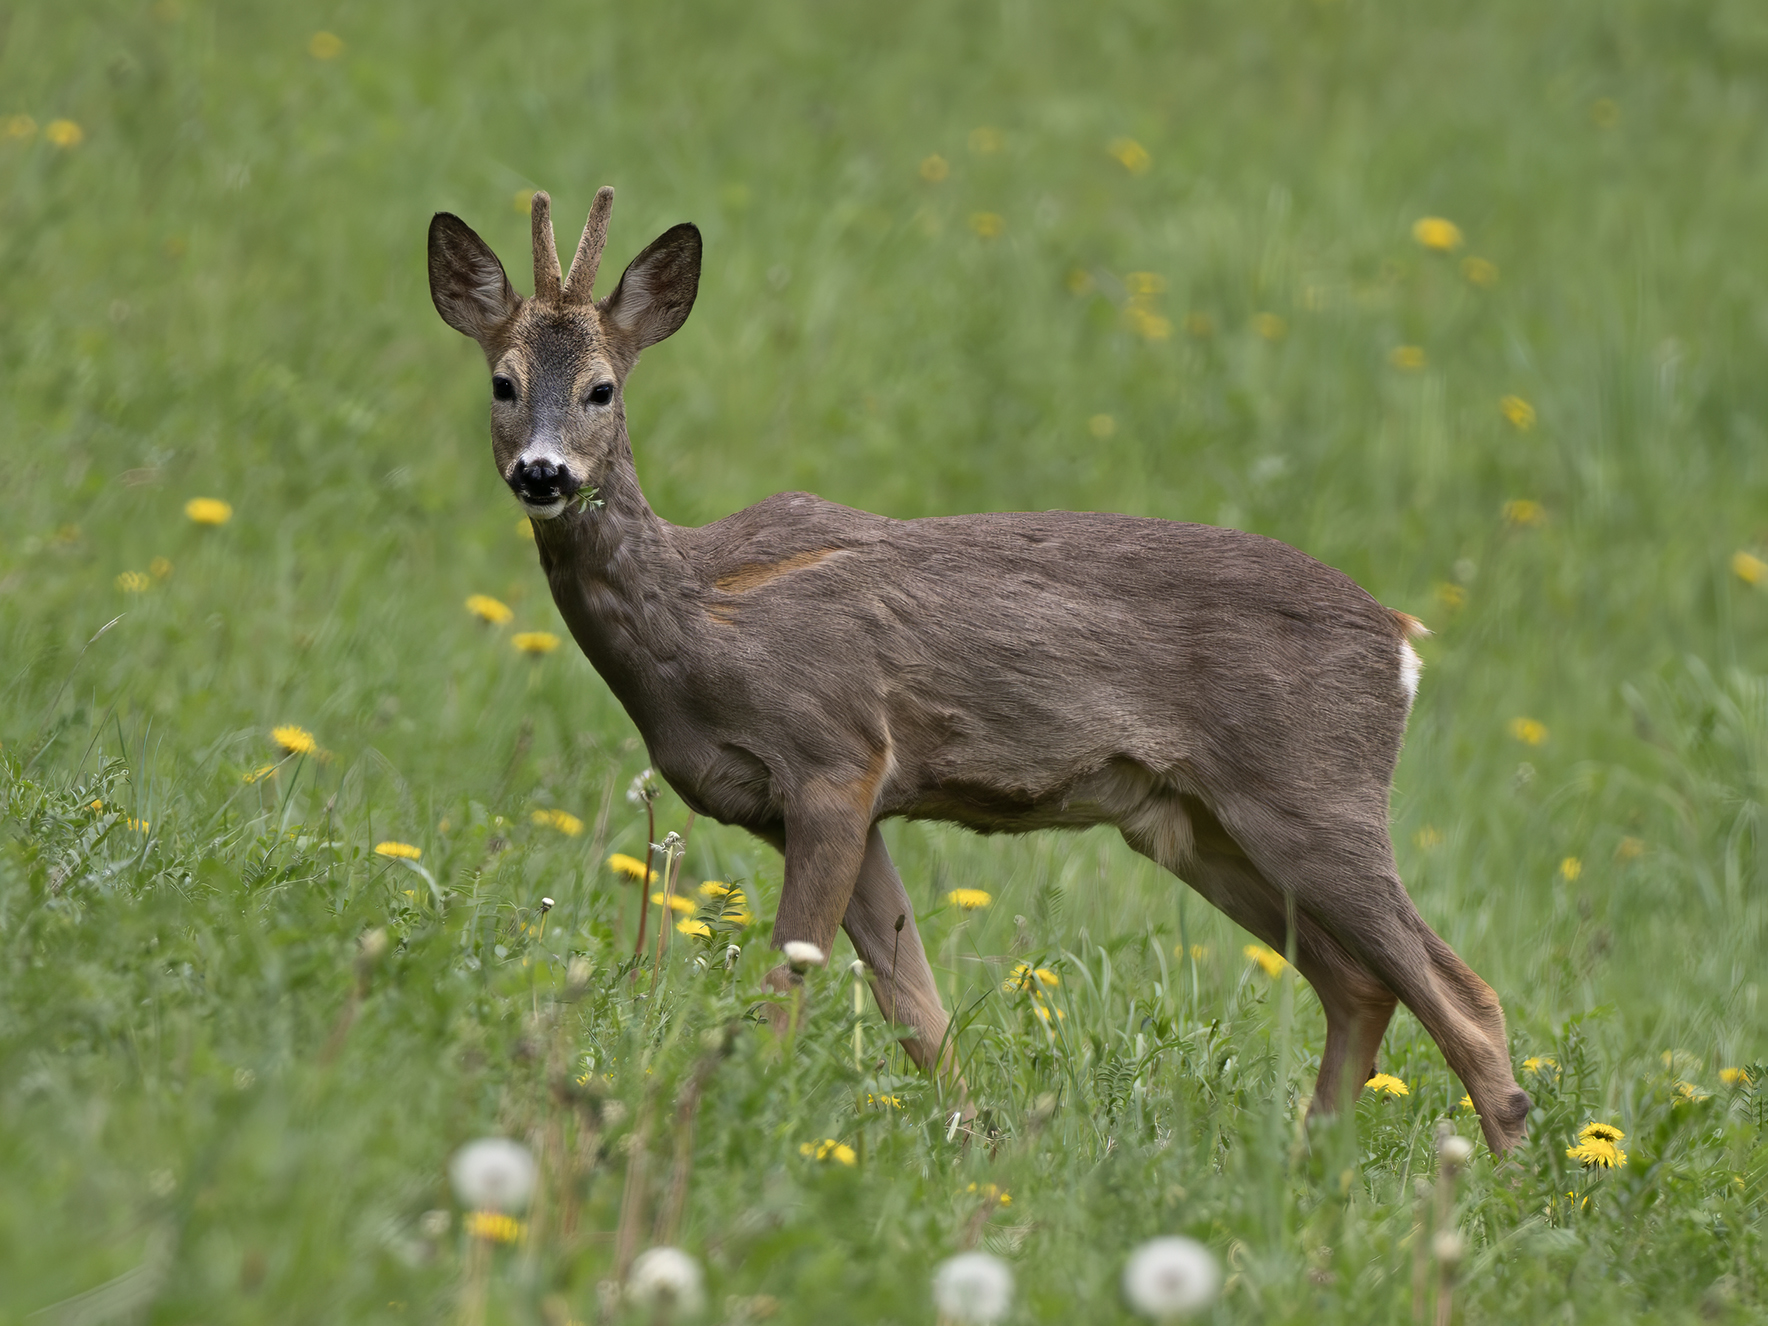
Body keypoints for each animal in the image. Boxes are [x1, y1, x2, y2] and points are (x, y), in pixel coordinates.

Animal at [426, 186, 1534, 1154]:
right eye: (503, 382)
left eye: (602, 388)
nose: (542, 473)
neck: (697, 622)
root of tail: (1400, 638)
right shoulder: (834, 806)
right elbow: (917, 1009)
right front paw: (976, 1148)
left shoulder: (834, 757)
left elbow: (790, 984)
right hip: (1198, 825)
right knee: (1361, 985)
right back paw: (1312, 1165)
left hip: (1313, 796)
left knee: (1467, 999)